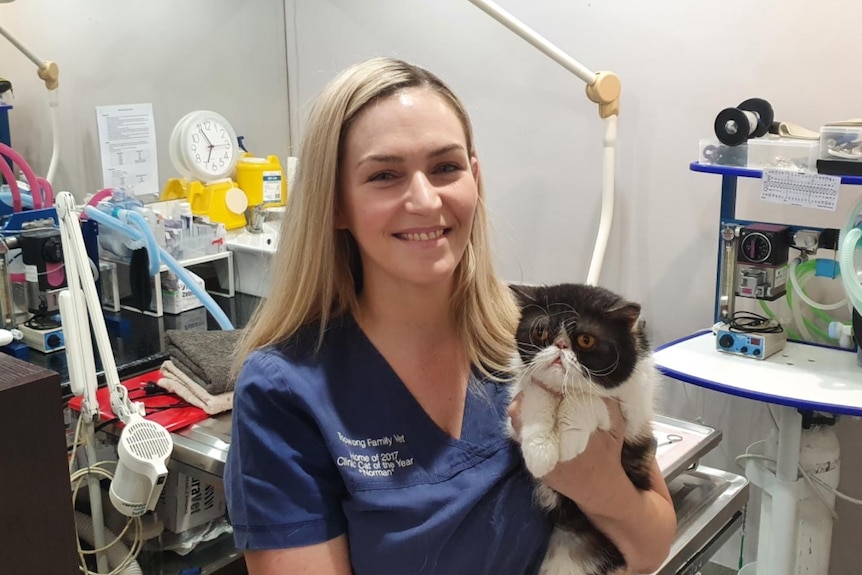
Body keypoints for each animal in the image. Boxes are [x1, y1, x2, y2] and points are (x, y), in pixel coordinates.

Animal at [510, 284, 660, 575]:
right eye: (540, 331)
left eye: (586, 340)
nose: (560, 345)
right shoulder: (518, 402)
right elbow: (537, 391)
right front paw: (540, 453)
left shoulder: (635, 413)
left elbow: (590, 398)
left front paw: (569, 440)